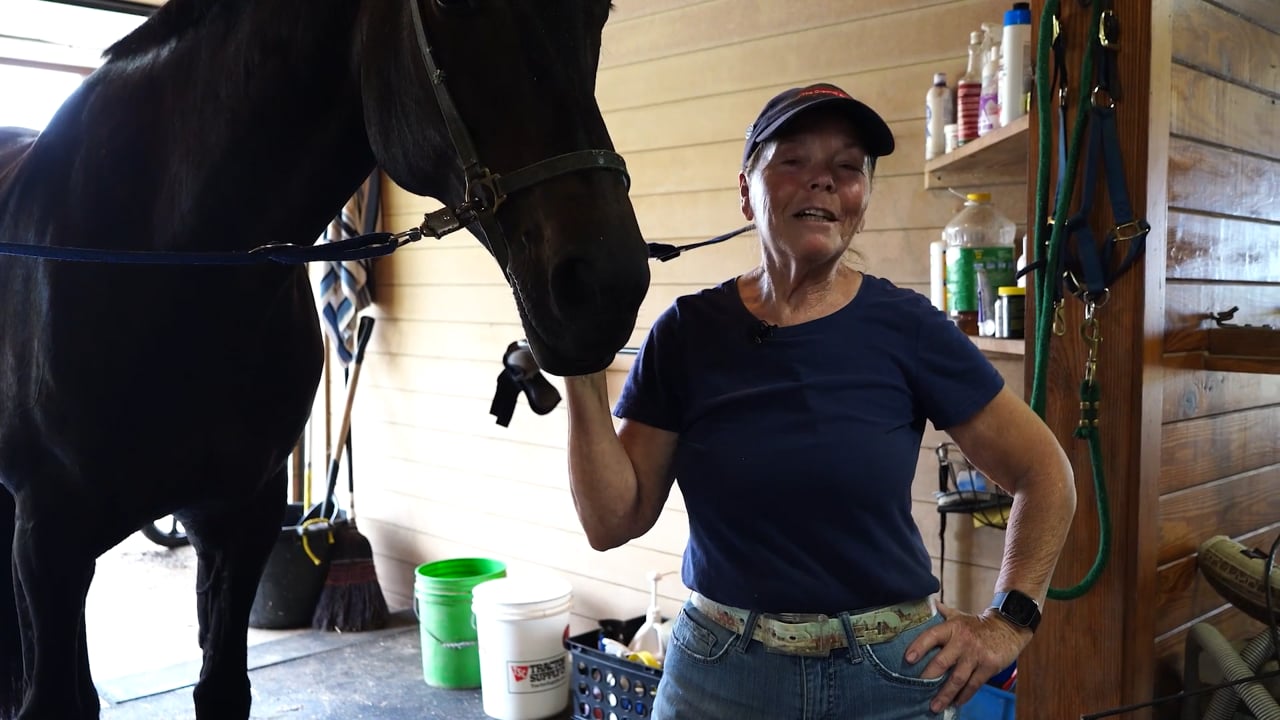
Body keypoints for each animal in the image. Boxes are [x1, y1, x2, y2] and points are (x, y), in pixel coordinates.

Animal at [0, 0, 649, 717]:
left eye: (600, 14)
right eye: (451, 7)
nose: (608, 286)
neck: (166, 265)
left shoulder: (240, 521)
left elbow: (220, 687)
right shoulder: (50, 539)